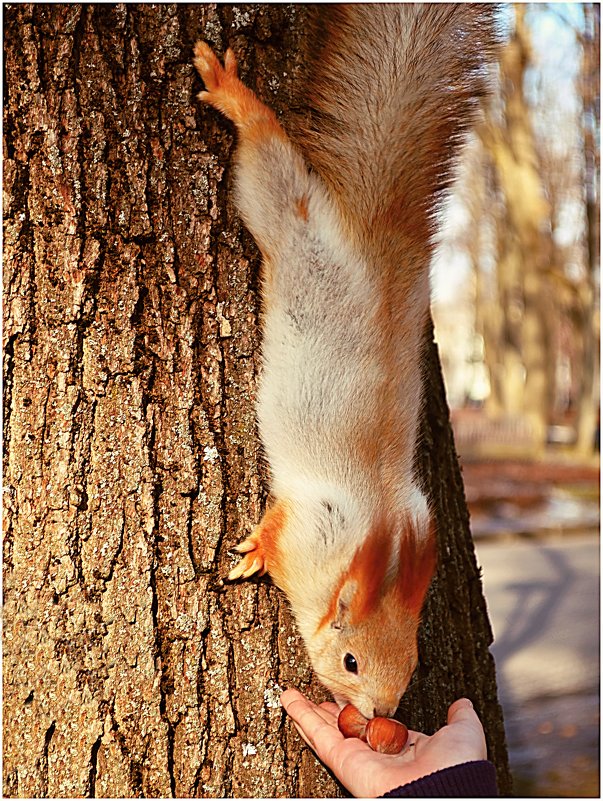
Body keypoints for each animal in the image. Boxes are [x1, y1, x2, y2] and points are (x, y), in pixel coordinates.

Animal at [193, 4, 496, 720]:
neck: (373, 545)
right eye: (351, 660)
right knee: (271, 165)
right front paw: (251, 553)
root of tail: (375, 241)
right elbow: (275, 529)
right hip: (289, 221)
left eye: (411, 666)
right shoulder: (307, 525)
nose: (381, 715)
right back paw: (233, 96)